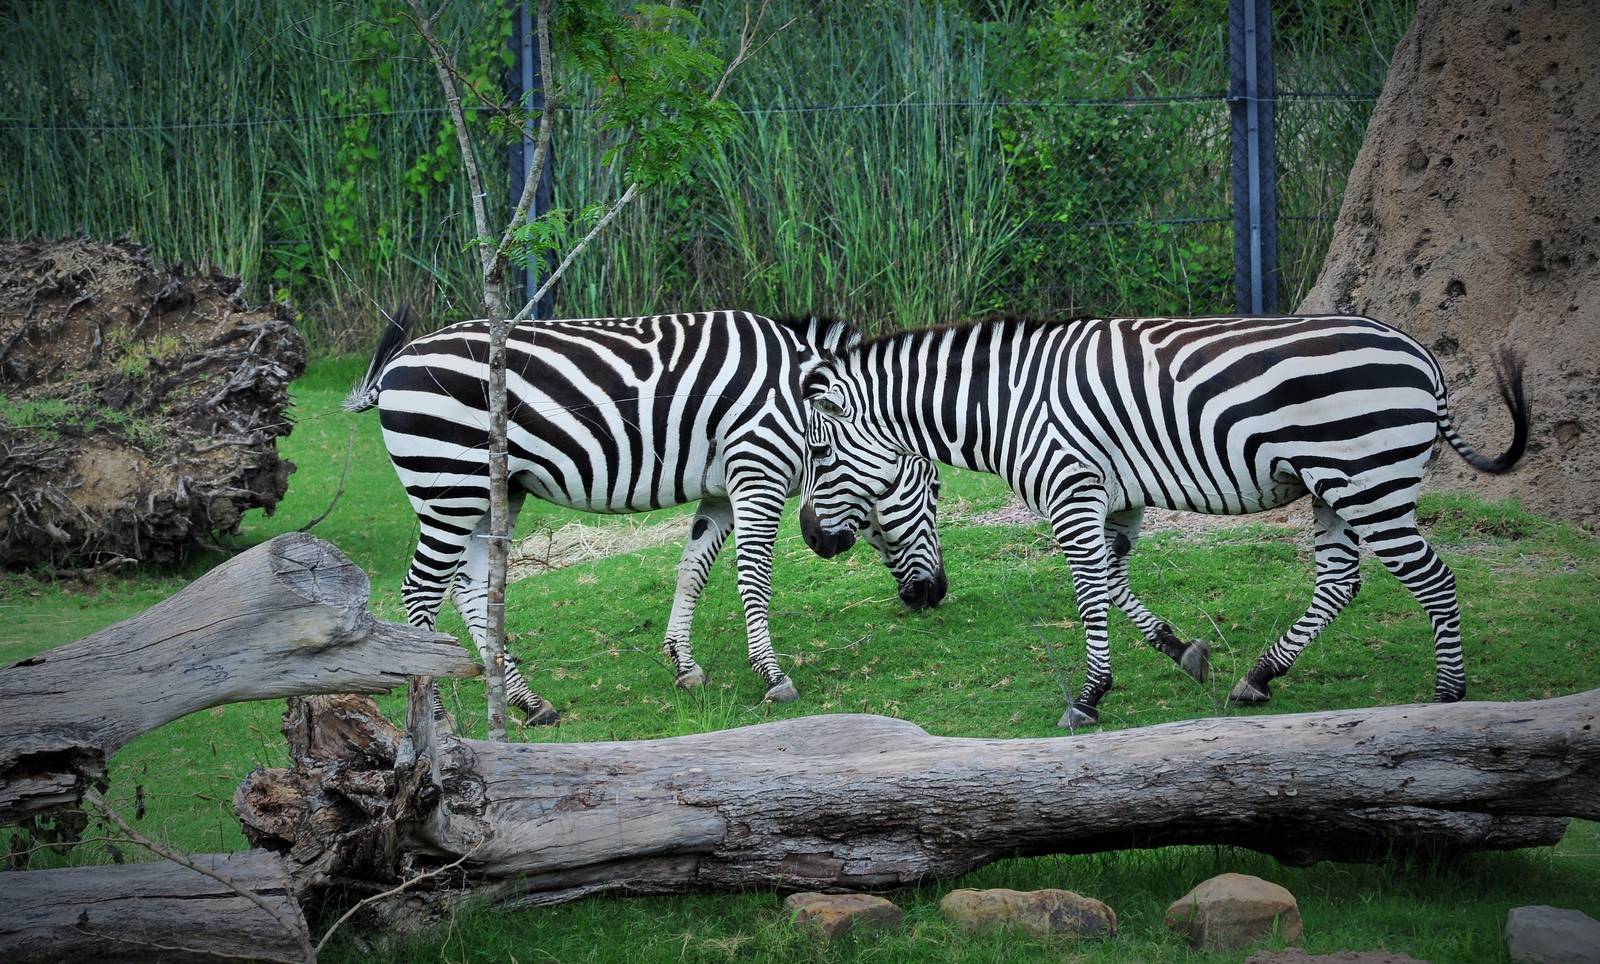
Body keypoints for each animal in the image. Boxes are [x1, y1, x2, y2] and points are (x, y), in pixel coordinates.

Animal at [345, 307, 947, 724]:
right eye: (935, 487)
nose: (936, 595)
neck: (801, 412)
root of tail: (397, 363)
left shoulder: (721, 490)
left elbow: (693, 569)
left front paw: (683, 664)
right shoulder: (756, 471)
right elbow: (754, 577)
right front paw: (772, 675)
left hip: (493, 491)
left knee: (470, 588)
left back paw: (528, 702)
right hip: (449, 483)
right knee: (422, 591)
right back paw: (436, 715)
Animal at [798, 314, 1528, 728]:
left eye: (820, 453)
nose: (808, 537)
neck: (1004, 404)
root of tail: (1424, 356)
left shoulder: (1071, 487)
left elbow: (1089, 590)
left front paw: (1089, 696)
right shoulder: (1115, 497)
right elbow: (1114, 584)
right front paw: (1182, 651)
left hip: (1366, 478)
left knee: (1434, 579)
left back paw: (1448, 697)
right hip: (1333, 486)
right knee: (1340, 583)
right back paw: (1259, 676)